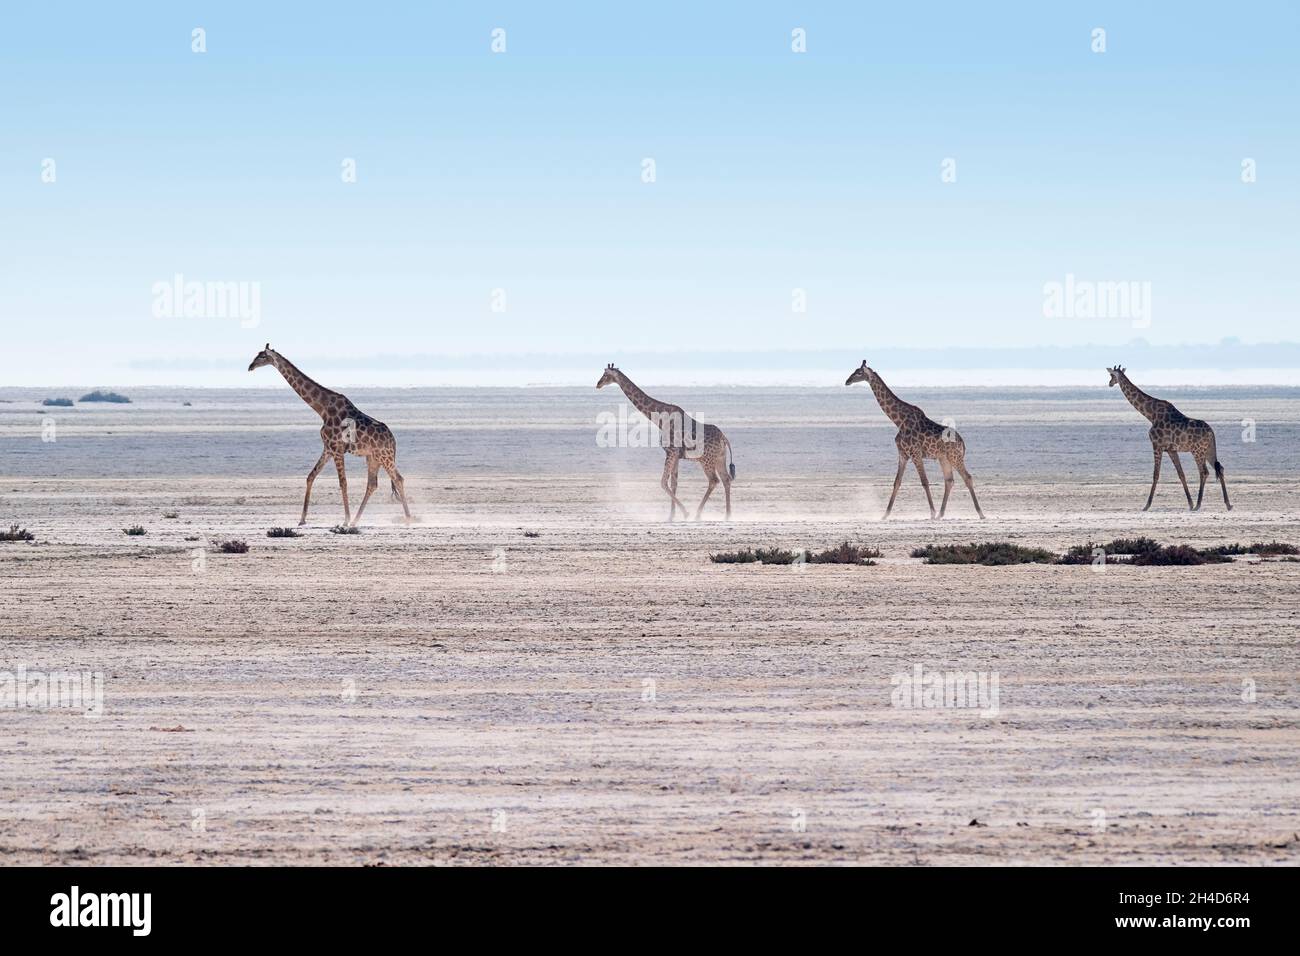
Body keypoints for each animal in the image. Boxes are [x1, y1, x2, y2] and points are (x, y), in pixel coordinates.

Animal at [244, 343, 405, 522]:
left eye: (262, 356)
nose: (250, 366)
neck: (322, 409)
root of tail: (393, 440)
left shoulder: (337, 448)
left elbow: (343, 482)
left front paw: (345, 519)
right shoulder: (328, 448)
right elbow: (311, 476)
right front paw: (302, 519)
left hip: (385, 456)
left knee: (398, 478)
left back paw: (408, 518)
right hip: (373, 457)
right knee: (372, 484)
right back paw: (356, 521)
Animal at [595, 361, 738, 520]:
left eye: (606, 374)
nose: (598, 384)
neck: (659, 419)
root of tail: (724, 438)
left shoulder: (670, 451)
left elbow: (663, 482)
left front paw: (684, 512)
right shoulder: (676, 454)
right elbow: (674, 482)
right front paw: (671, 515)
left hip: (706, 460)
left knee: (714, 480)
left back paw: (698, 514)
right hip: (719, 458)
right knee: (726, 479)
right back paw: (728, 515)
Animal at [842, 361, 982, 520]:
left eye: (859, 373)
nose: (847, 381)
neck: (899, 421)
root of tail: (962, 442)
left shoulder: (915, 453)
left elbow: (924, 481)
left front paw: (932, 513)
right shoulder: (903, 454)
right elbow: (897, 482)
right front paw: (885, 514)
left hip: (955, 457)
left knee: (967, 478)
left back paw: (980, 513)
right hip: (944, 458)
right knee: (949, 481)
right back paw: (941, 514)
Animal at [1107, 364, 1227, 512]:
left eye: (1112, 375)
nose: (1110, 383)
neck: (1151, 415)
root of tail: (1211, 432)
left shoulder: (1157, 445)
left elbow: (1156, 474)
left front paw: (1146, 505)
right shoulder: (1171, 449)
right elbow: (1181, 474)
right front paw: (1189, 503)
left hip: (1197, 451)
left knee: (1204, 472)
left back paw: (1199, 505)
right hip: (1208, 449)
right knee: (1219, 468)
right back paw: (1228, 504)